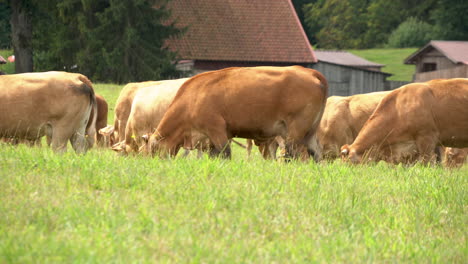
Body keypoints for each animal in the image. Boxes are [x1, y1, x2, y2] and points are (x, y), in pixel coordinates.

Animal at [148, 65, 328, 159]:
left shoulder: (216, 129)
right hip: (310, 131)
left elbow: (225, 153)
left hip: (295, 131)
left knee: (292, 154)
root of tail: (309, 71)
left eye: (152, 151)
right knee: (317, 153)